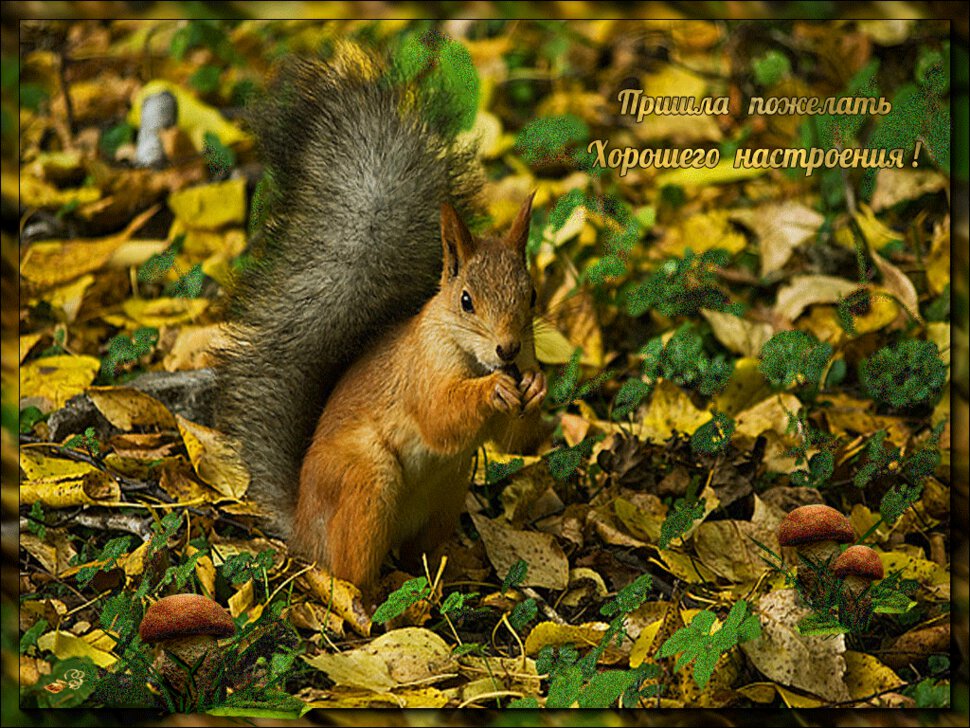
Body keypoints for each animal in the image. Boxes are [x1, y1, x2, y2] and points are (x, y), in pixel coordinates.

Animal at [216, 49, 548, 584]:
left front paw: (536, 386)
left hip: (448, 490)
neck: (466, 352)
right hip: (367, 481)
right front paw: (490, 390)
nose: (509, 349)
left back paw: (448, 568)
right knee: (350, 572)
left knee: (420, 550)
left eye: (532, 293)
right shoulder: (419, 373)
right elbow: (439, 415)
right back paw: (376, 593)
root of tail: (305, 530)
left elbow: (514, 439)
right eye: (466, 300)